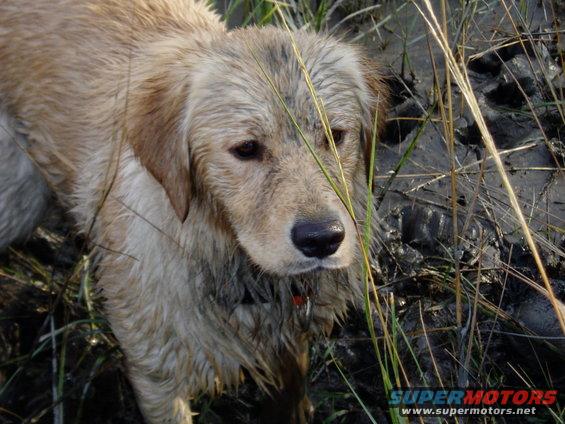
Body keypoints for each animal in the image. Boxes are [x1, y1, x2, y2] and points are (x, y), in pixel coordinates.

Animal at [0, 1, 388, 422]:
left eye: (335, 136)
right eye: (246, 148)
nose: (322, 239)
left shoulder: (288, 341)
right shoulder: (158, 375)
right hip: (18, 201)